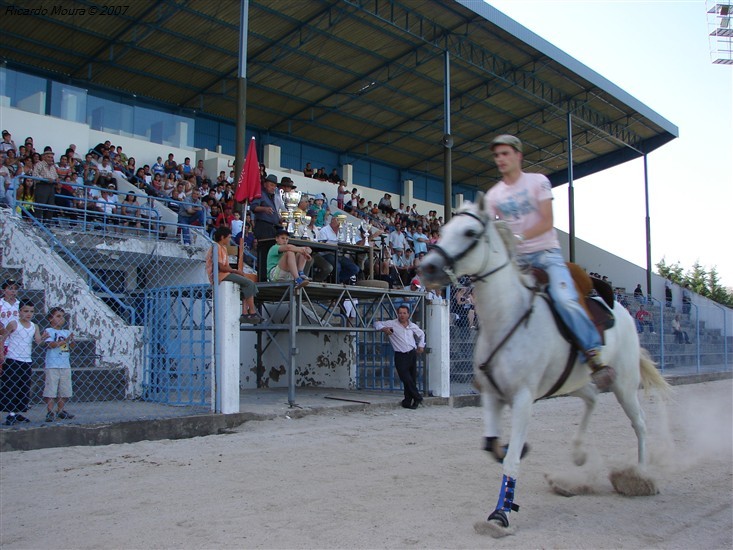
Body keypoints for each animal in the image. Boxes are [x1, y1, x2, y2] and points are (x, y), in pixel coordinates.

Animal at [418, 196, 668, 536]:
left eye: (470, 232)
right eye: (442, 230)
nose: (428, 267)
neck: (507, 317)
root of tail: (625, 314)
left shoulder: (523, 399)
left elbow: (510, 460)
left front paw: (500, 514)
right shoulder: (492, 396)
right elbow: (492, 447)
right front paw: (510, 463)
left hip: (624, 384)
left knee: (639, 423)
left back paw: (639, 476)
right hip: (571, 383)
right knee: (591, 398)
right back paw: (577, 457)